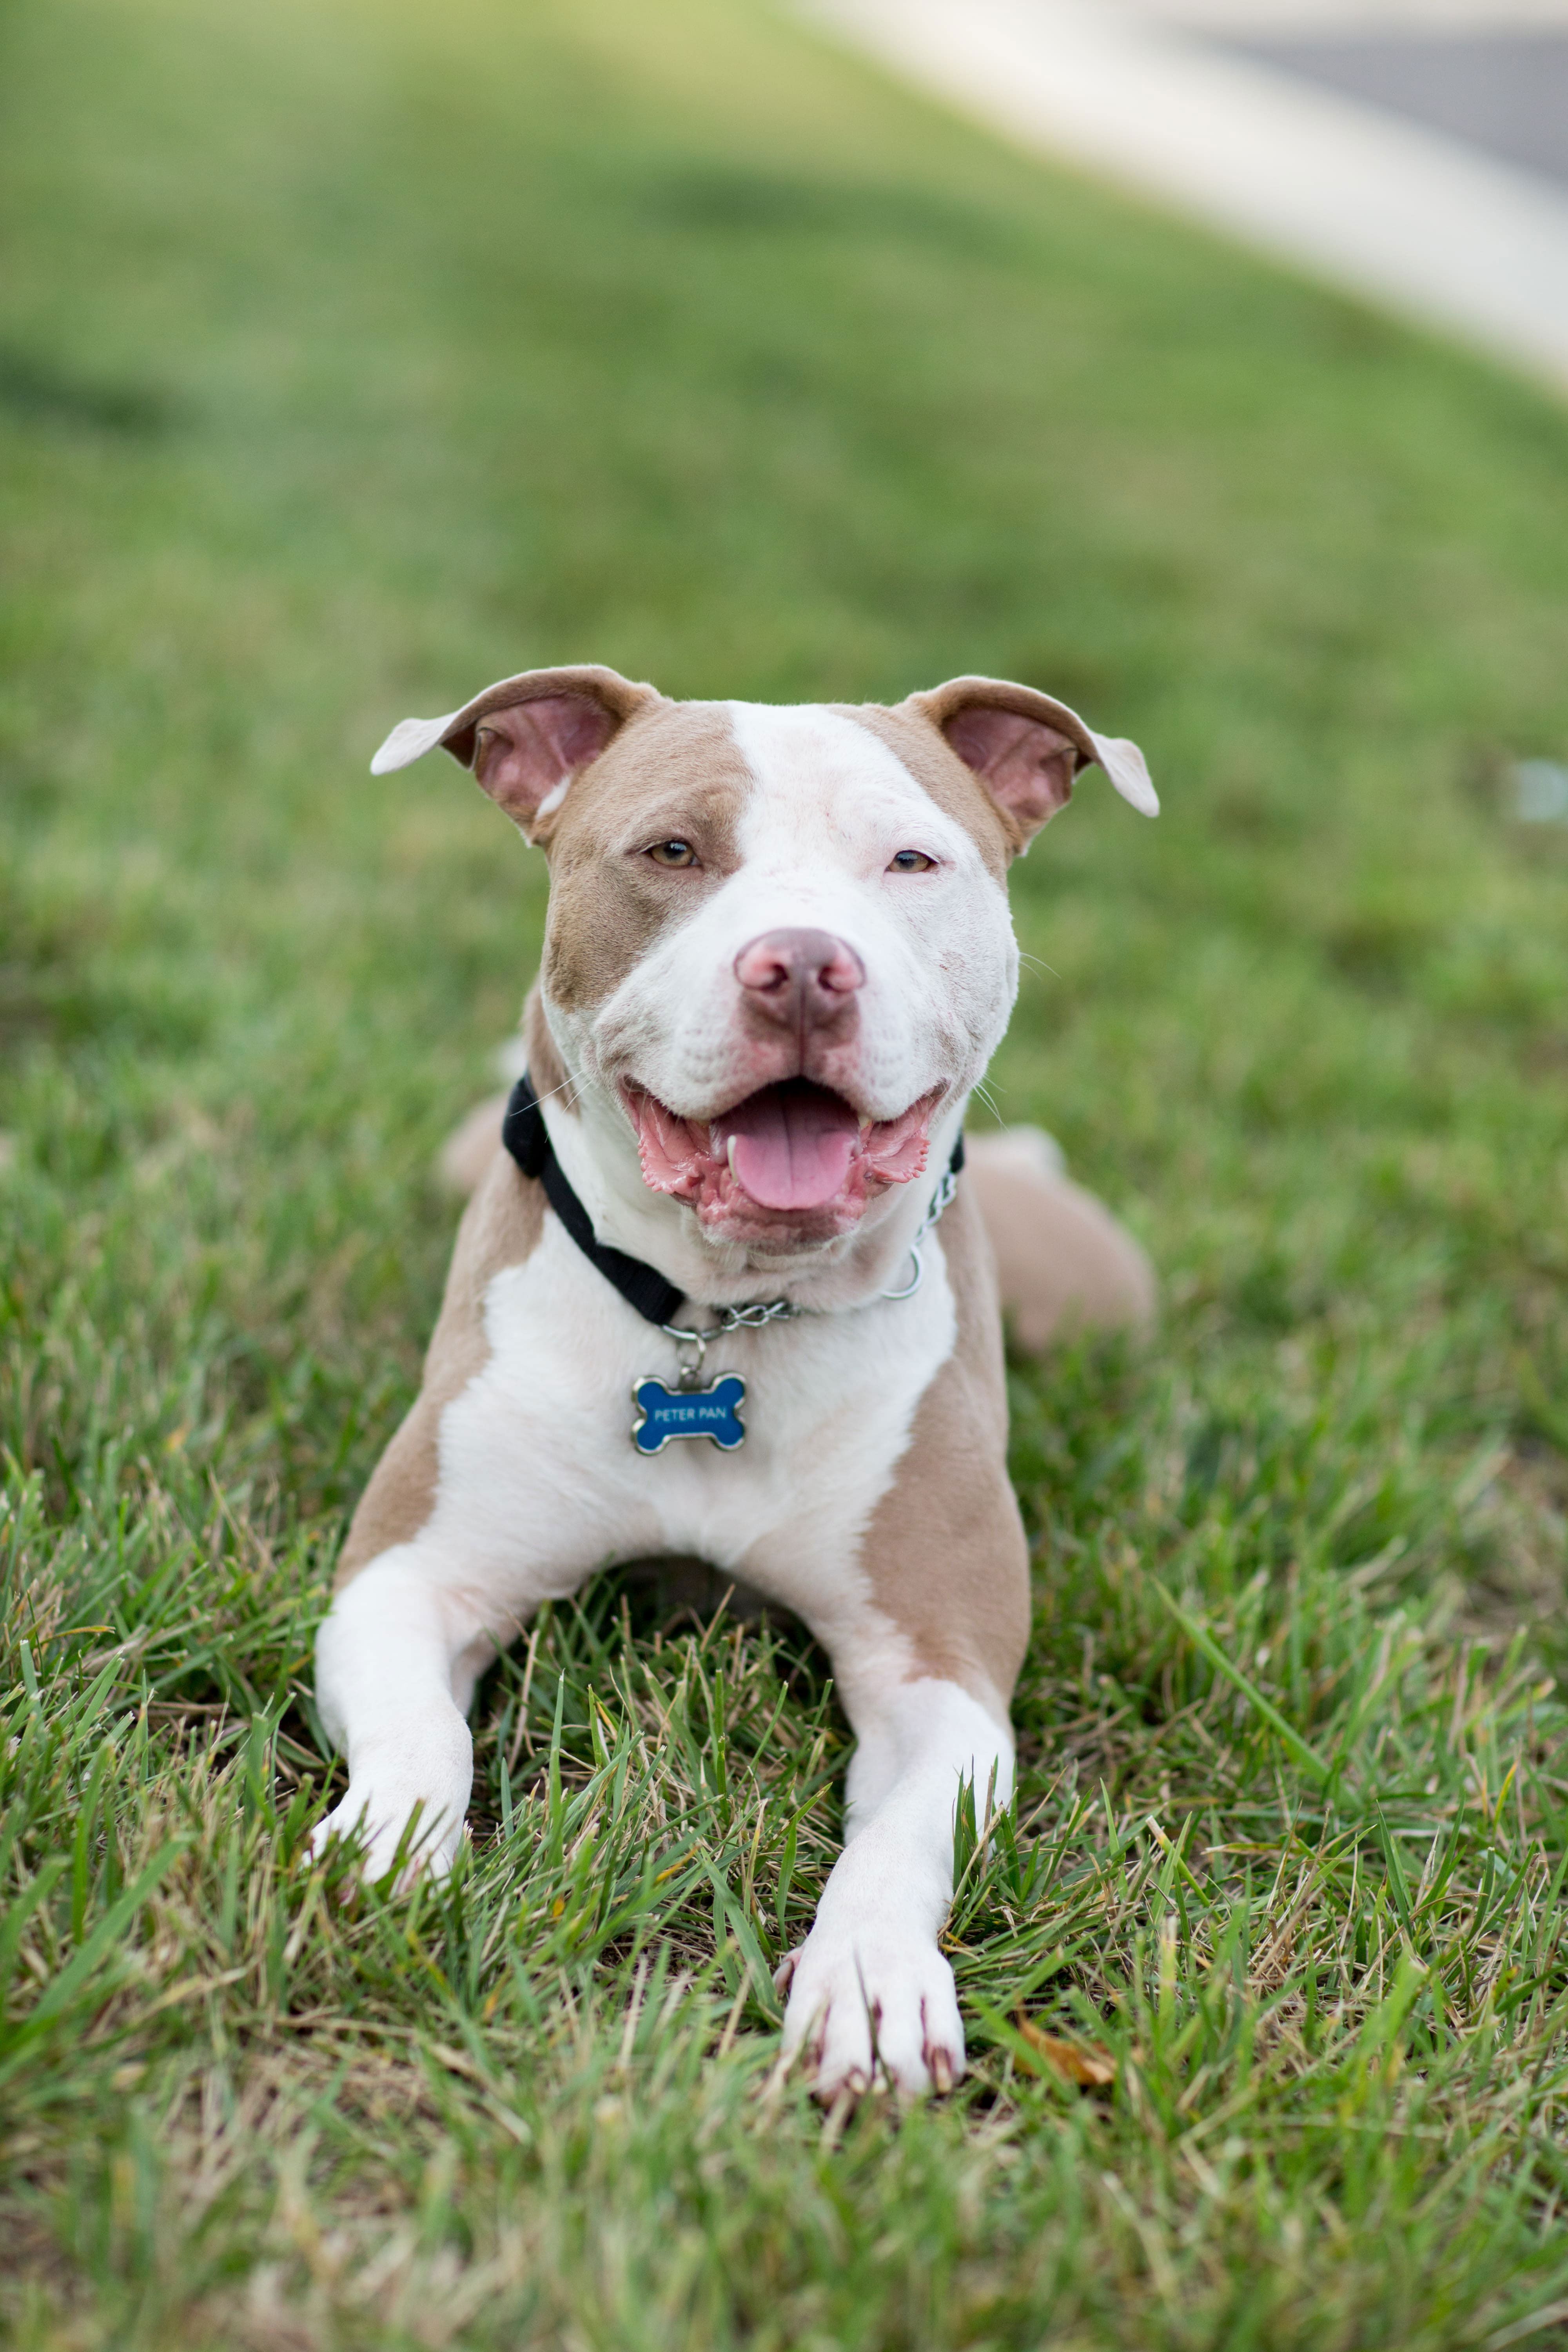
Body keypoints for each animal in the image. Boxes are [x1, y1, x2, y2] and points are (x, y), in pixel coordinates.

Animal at [315, 663, 1152, 2098]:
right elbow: (420, 1734)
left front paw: (869, 1974)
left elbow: (904, 1839)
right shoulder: (409, 1577)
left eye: (911, 859)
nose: (805, 966)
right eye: (672, 852)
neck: (726, 1320)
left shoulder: (941, 1674)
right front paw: (386, 1852)